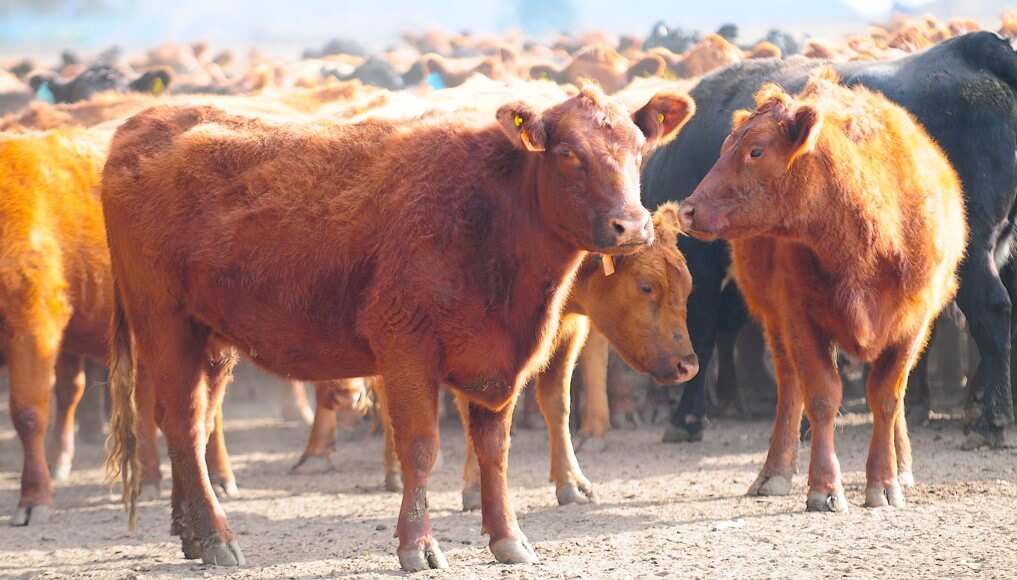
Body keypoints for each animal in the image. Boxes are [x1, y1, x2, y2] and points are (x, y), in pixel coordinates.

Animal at [101, 85, 695, 570]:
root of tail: (139, 126)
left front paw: (508, 538)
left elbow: (494, 449)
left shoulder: (496, 358)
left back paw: (191, 534)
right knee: (183, 423)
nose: (632, 226)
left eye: (639, 149)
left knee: (192, 424)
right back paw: (217, 539)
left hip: (211, 338)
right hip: (164, 324)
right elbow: (420, 446)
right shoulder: (407, 348)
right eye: (569, 153)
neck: (490, 212)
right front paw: (419, 545)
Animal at [643, 32, 1017, 450]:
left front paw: (687, 417)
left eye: (755, 152)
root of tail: (976, 47)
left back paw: (991, 420)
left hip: (972, 250)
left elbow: (702, 332)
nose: (691, 210)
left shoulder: (701, 263)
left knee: (992, 310)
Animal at [678, 69, 966, 511]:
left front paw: (884, 481)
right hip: (776, 323)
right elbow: (821, 396)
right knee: (789, 387)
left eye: (755, 151)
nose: (687, 210)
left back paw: (902, 464)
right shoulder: (798, 315)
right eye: (726, 147)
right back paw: (775, 472)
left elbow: (886, 396)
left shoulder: (914, 321)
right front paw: (824, 487)